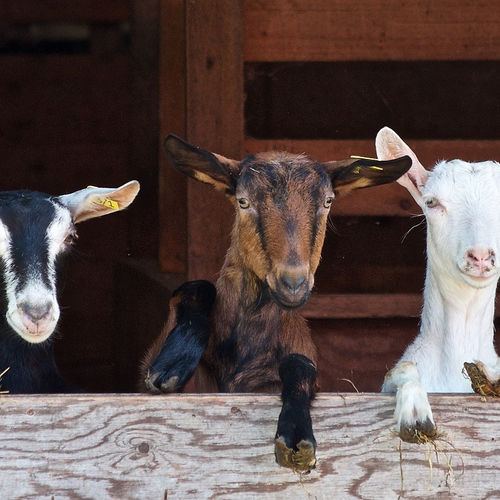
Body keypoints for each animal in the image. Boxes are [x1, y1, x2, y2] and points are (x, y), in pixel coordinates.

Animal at [143, 135, 412, 470]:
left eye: (328, 202)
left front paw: (296, 434)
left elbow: (300, 364)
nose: (293, 283)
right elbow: (195, 287)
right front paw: (173, 364)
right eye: (243, 201)